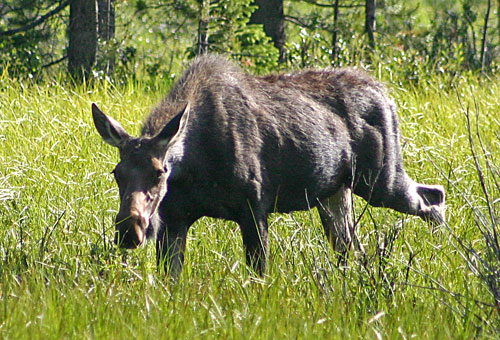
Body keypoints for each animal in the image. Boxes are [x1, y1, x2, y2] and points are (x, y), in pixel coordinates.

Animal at [93, 53, 446, 276]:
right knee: (351, 248)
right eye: (116, 173)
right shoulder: (175, 219)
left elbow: (259, 276)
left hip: (380, 179)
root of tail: (386, 94)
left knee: (433, 197)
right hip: (335, 192)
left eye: (159, 172)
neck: (194, 168)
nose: (129, 230)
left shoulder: (254, 207)